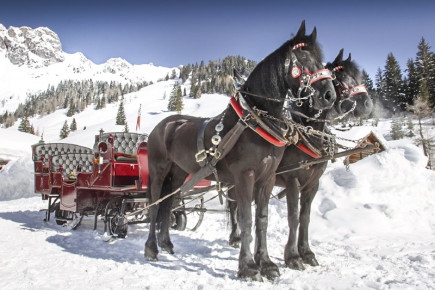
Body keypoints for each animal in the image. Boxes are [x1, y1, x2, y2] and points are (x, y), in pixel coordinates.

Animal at [145, 21, 336, 282]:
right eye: (305, 58)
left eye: (322, 61)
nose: (329, 95)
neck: (257, 122)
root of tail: (163, 126)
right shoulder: (249, 176)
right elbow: (248, 219)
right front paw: (248, 267)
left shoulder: (268, 178)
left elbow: (263, 220)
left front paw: (267, 263)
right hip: (159, 171)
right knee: (155, 205)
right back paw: (151, 249)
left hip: (178, 175)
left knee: (169, 204)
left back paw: (166, 243)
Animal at [228, 49, 374, 272]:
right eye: (340, 76)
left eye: (358, 75)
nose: (367, 104)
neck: (308, 131)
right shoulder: (292, 180)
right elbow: (294, 217)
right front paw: (293, 256)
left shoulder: (313, 183)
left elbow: (305, 217)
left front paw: (306, 252)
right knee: (233, 204)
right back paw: (235, 237)